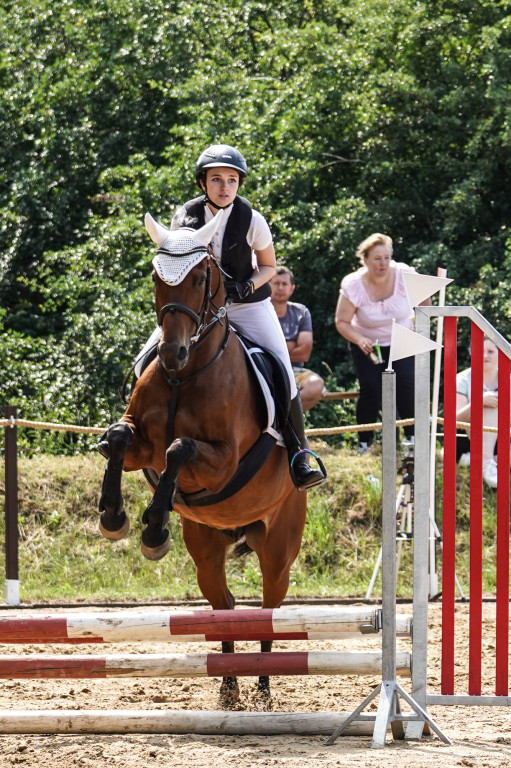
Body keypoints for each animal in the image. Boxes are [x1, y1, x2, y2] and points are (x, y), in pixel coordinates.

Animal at [99, 210, 308, 708]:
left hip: (279, 548)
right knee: (224, 607)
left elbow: (180, 448)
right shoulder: (142, 446)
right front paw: (114, 517)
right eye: (156, 278)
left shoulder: (224, 460)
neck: (187, 375)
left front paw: (153, 527)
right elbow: (119, 438)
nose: (171, 352)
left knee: (268, 609)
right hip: (206, 546)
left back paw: (263, 691)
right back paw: (230, 689)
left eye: (200, 278)